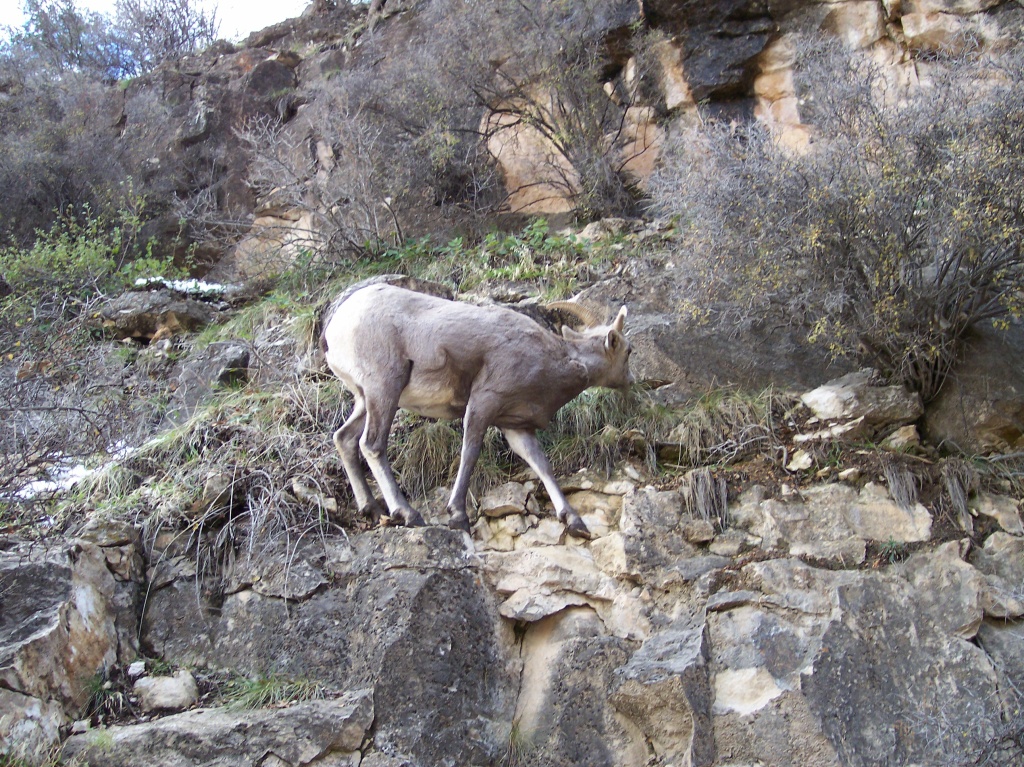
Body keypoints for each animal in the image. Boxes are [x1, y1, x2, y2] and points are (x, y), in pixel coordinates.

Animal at [321, 280, 633, 539]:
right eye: (628, 351)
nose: (631, 381)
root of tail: (336, 325)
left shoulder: (516, 426)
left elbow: (542, 465)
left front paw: (575, 522)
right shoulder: (484, 402)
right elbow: (470, 452)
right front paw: (458, 516)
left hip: (365, 399)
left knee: (345, 438)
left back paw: (372, 510)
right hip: (385, 387)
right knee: (372, 444)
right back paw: (408, 514)